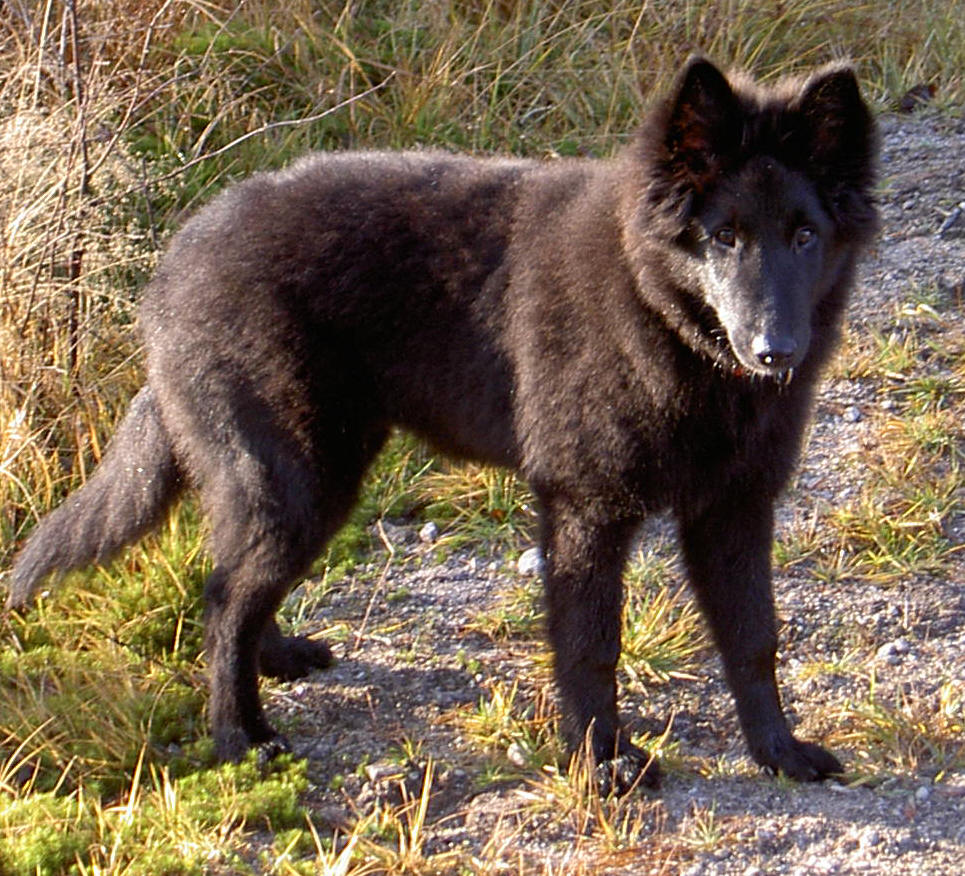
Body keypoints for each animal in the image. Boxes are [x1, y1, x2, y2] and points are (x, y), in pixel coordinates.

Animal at [7, 58, 876, 792]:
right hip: (300, 477)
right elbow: (592, 649)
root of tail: (176, 261)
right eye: (723, 237)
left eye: (803, 236)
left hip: (296, 479)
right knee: (223, 600)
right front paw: (602, 765)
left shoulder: (734, 508)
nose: (775, 351)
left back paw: (274, 657)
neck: (660, 315)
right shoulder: (583, 507)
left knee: (238, 582)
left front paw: (777, 752)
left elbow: (754, 640)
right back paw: (239, 740)